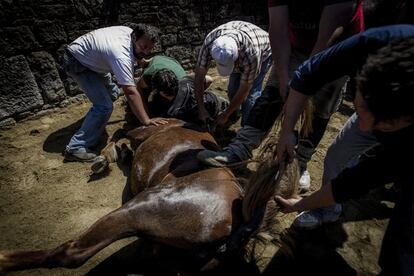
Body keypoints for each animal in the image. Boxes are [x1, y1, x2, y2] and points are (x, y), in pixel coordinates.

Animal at [0, 119, 298, 274]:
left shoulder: (142, 131)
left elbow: (121, 132)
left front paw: (106, 157)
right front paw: (112, 156)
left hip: (137, 212)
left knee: (72, 252)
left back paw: (5, 258)